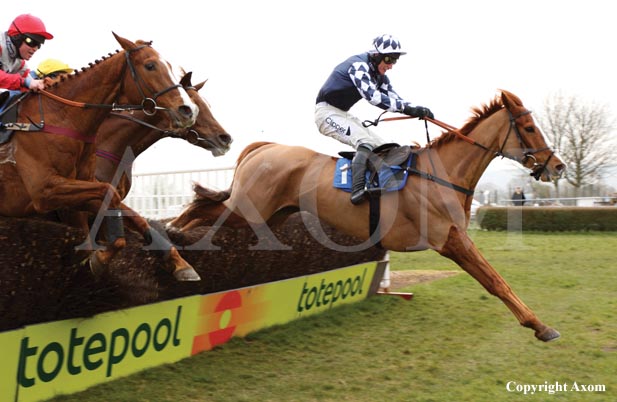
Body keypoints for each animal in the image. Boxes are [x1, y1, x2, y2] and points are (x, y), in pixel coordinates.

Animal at [0, 33, 200, 282]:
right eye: (150, 65)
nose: (188, 110)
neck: (62, 119)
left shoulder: (79, 192)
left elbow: (131, 215)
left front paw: (180, 264)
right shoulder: (45, 191)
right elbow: (109, 197)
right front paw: (99, 259)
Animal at [171, 90, 564, 340]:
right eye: (529, 128)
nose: (557, 166)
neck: (441, 174)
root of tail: (263, 148)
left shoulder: (454, 239)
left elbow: (495, 280)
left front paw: (538, 324)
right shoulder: (451, 240)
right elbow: (496, 282)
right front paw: (539, 325)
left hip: (271, 215)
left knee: (205, 209)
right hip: (249, 208)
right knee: (201, 209)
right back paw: (177, 246)